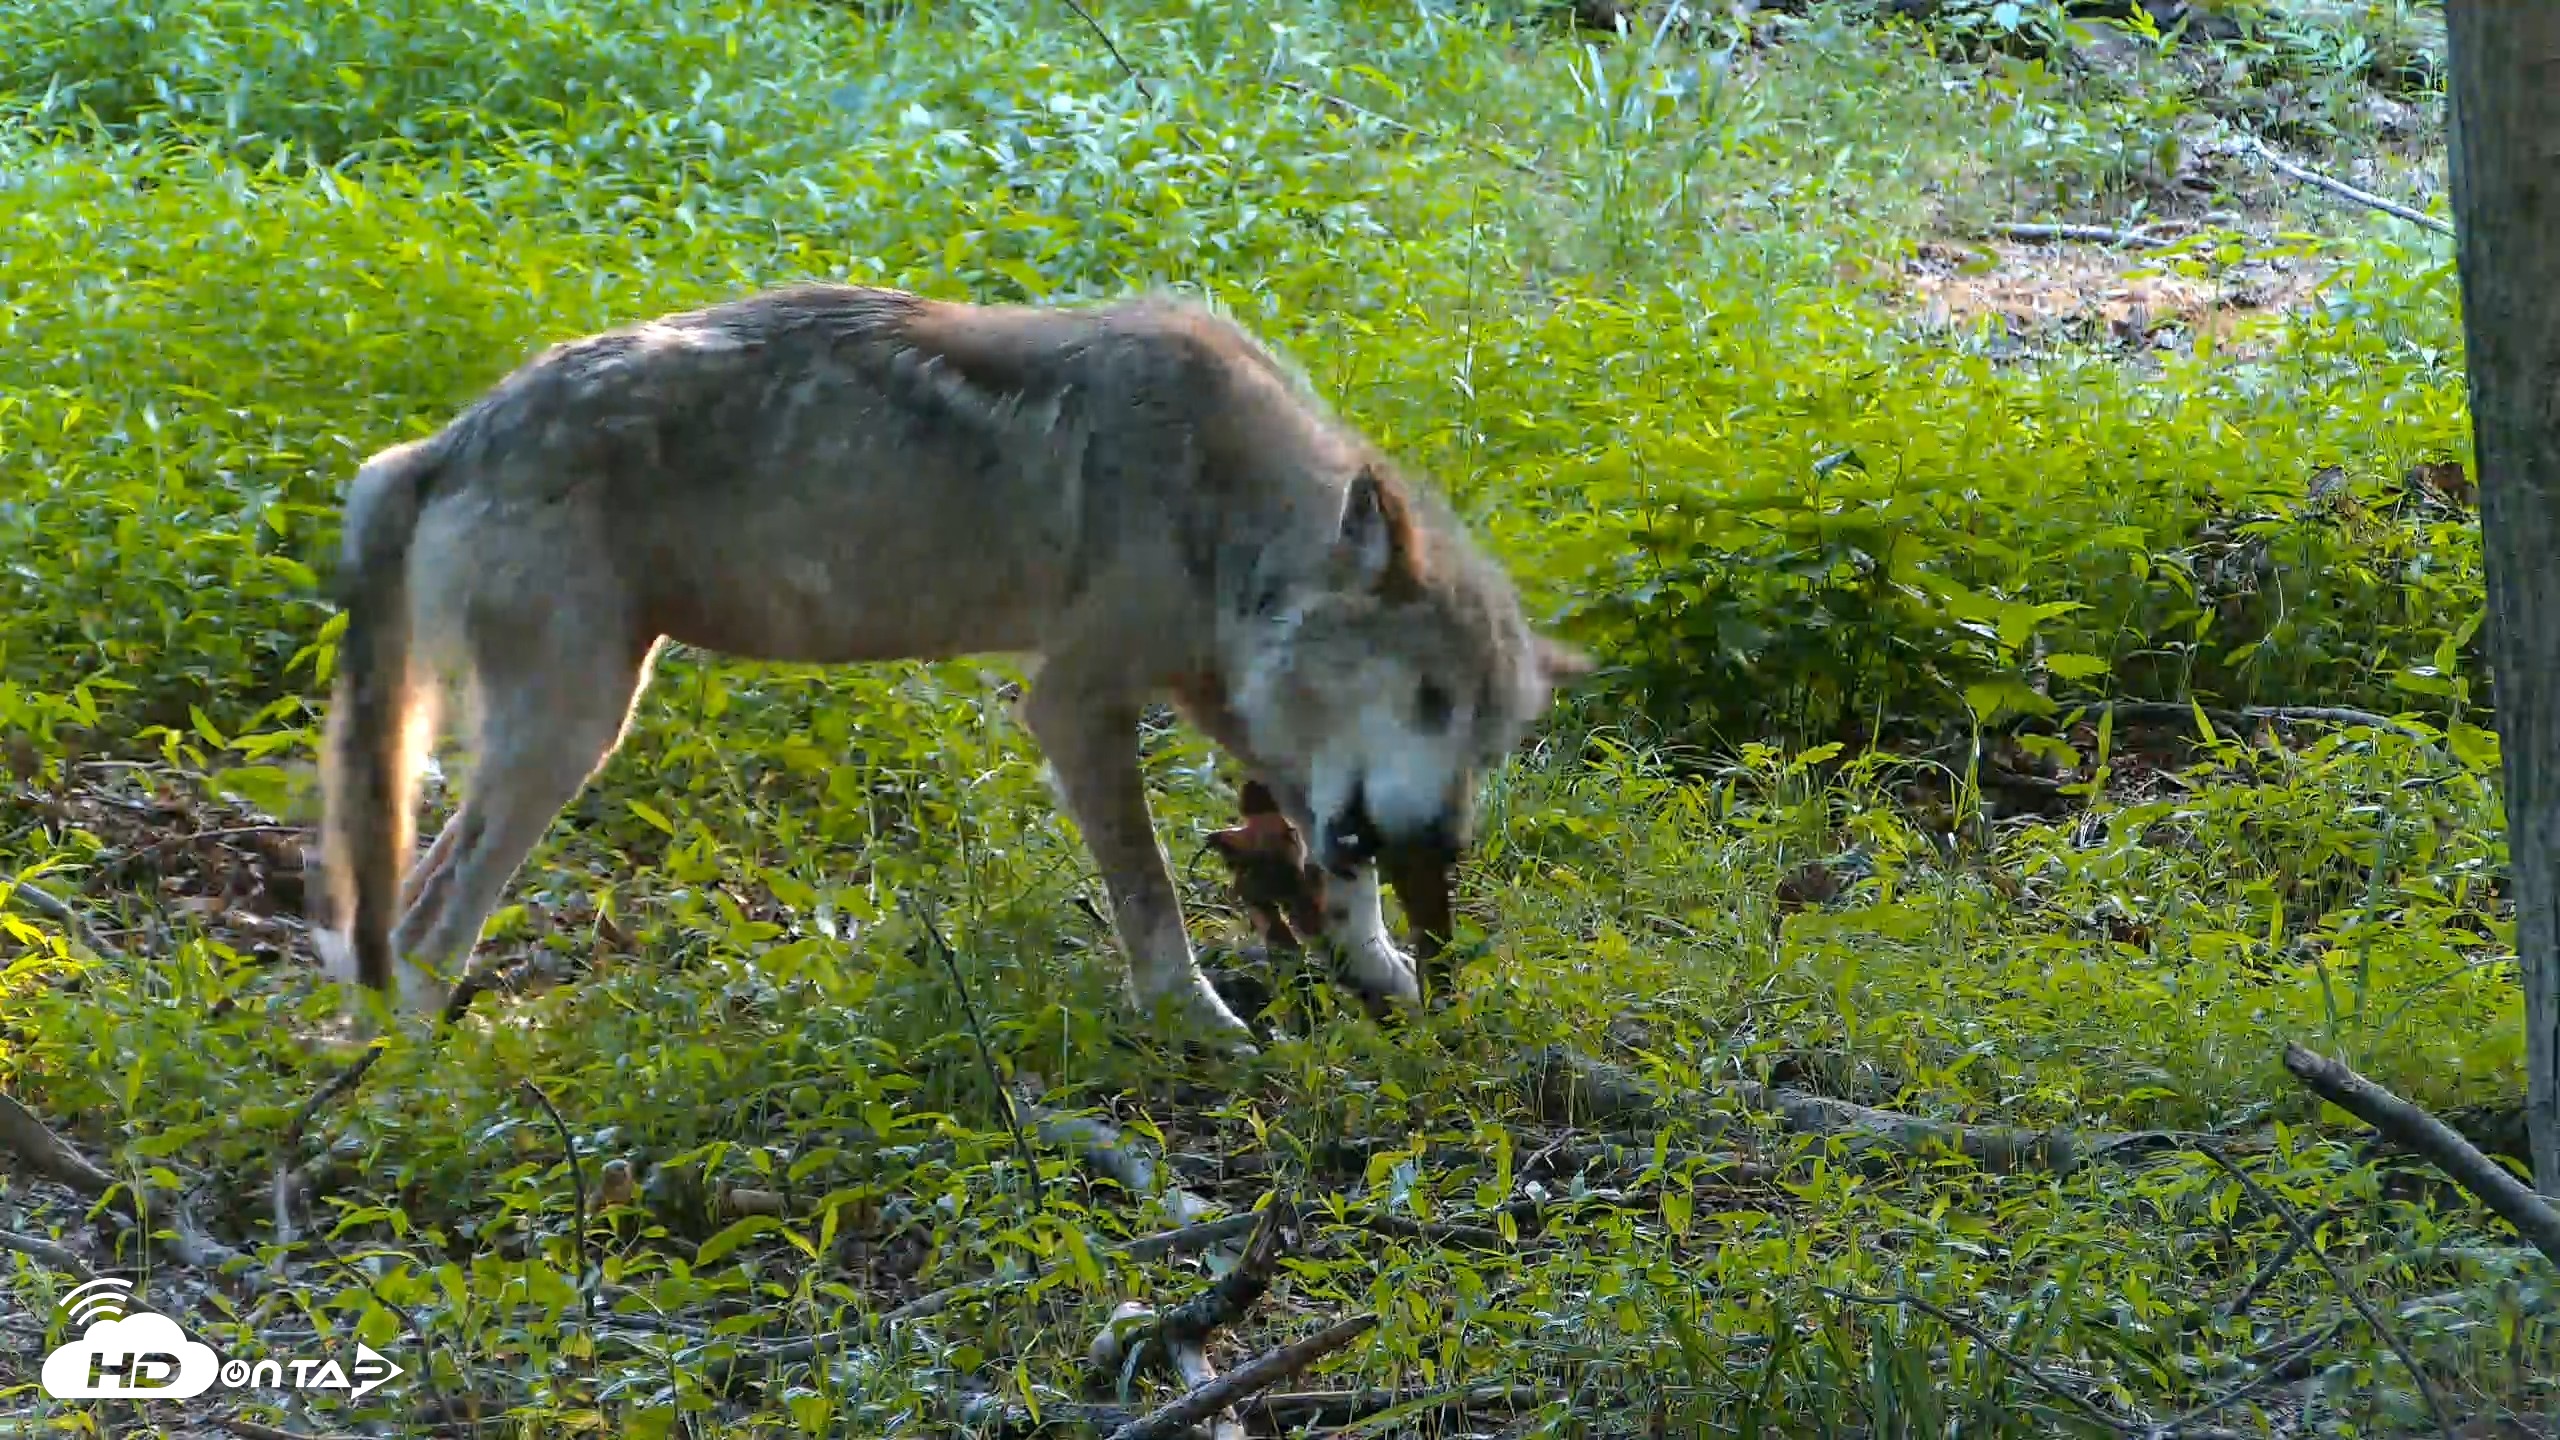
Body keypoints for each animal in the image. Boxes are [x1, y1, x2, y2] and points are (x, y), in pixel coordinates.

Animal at [313, 282, 1589, 1050]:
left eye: (1484, 743)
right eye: (1427, 697)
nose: (1446, 846)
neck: (1223, 502)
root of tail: (443, 441)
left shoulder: (1234, 711)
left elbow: (1327, 857)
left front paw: (1380, 964)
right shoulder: (1072, 703)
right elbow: (1150, 898)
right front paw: (1196, 1024)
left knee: (402, 921)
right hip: (572, 738)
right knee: (425, 925)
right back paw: (423, 1087)